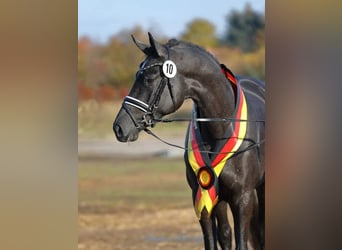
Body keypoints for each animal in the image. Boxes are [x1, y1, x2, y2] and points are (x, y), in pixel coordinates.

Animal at [112, 33, 264, 250]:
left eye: (149, 78)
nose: (119, 127)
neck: (222, 128)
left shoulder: (243, 198)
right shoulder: (203, 198)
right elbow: (212, 241)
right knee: (225, 234)